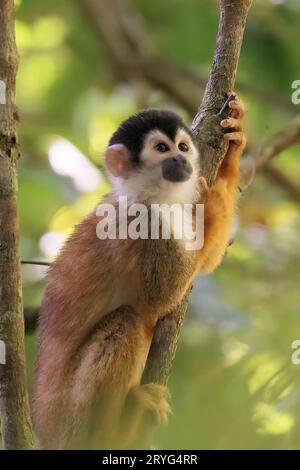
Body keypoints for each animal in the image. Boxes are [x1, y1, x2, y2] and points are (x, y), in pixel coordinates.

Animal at [34, 95, 247, 448]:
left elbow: (204, 262)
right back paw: (113, 431)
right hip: (73, 423)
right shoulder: (143, 223)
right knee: (127, 321)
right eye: (161, 149)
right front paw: (211, 198)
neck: (155, 197)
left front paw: (232, 151)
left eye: (182, 146)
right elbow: (161, 296)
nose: (181, 159)